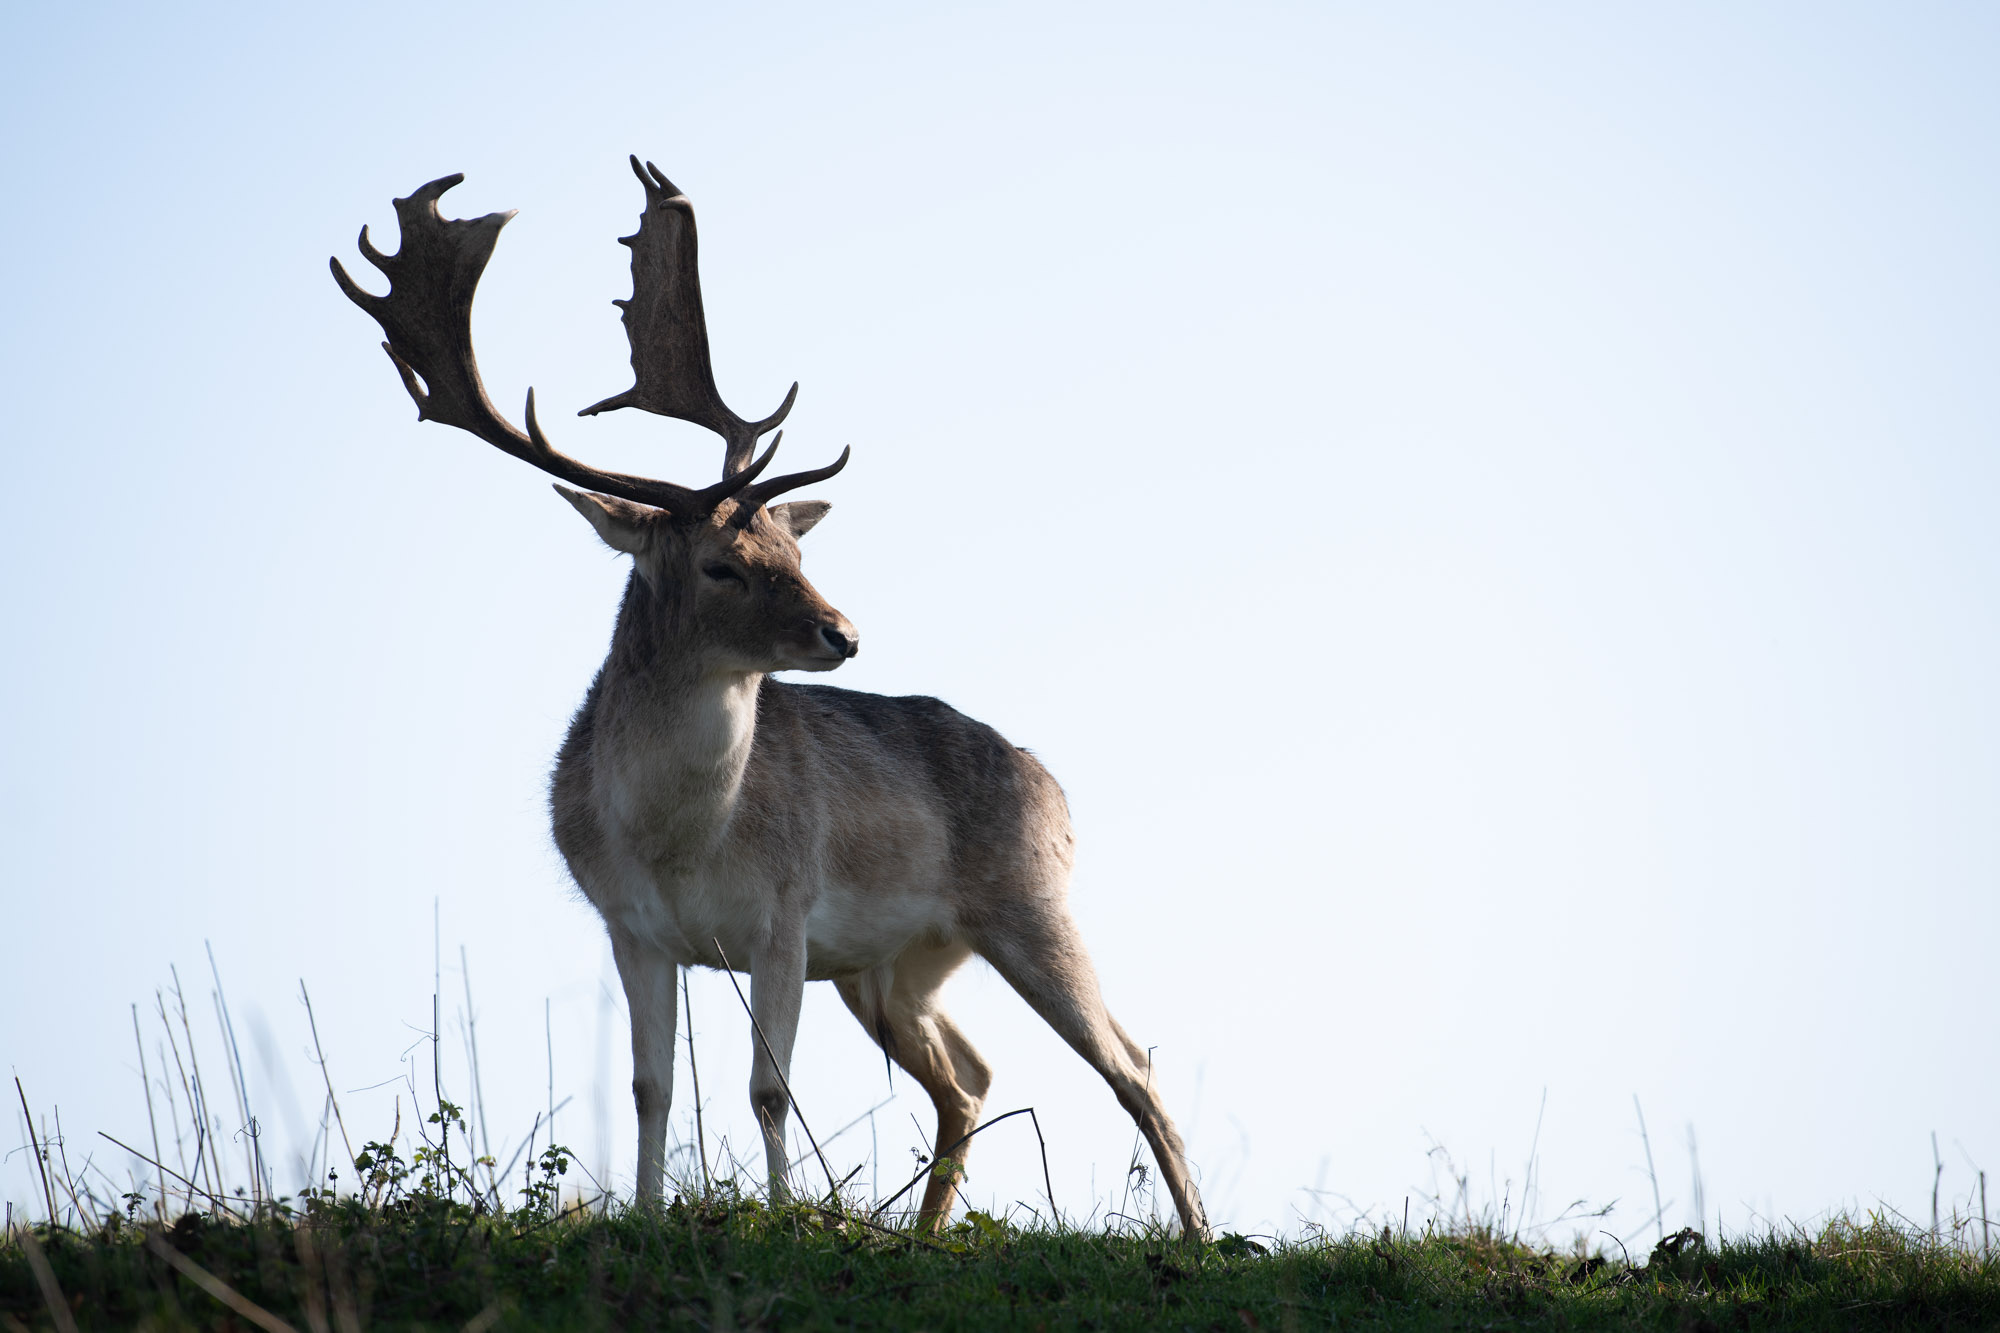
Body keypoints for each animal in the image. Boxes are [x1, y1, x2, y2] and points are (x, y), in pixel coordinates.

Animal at [336, 158, 1208, 1232]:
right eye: (723, 563)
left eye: (795, 551)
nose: (845, 633)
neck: (678, 839)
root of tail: (1057, 788)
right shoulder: (630, 925)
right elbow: (651, 1085)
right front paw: (651, 1216)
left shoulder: (785, 912)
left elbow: (767, 1088)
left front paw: (787, 1217)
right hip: (895, 966)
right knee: (970, 1075)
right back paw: (926, 1236)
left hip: (1031, 901)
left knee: (1132, 1064)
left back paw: (1205, 1236)